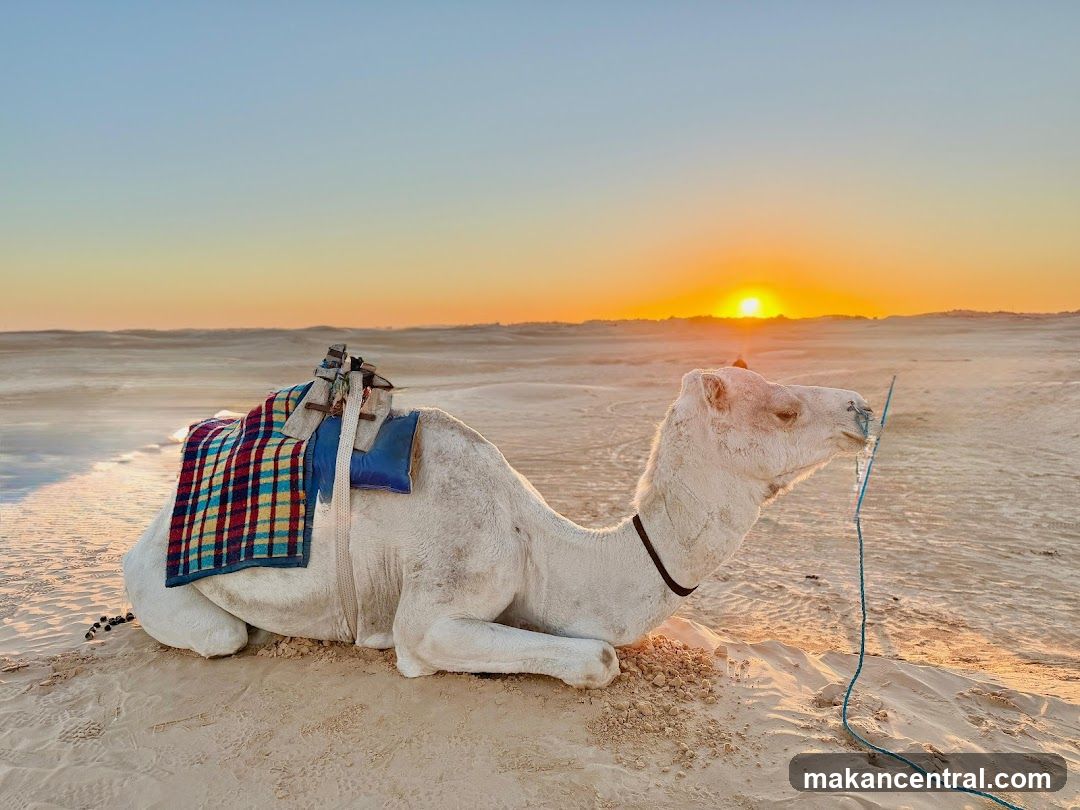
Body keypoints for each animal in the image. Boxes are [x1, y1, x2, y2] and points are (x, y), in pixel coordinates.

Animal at [123, 366, 871, 688]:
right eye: (782, 409)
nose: (861, 408)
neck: (538, 545)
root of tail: (151, 528)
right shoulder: (438, 603)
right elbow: (598, 659)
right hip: (157, 583)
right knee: (223, 635)